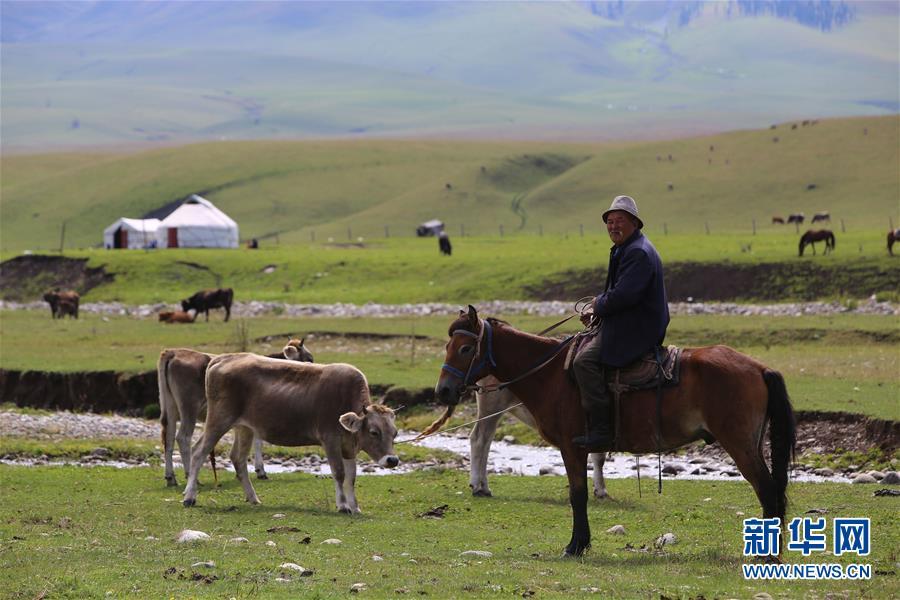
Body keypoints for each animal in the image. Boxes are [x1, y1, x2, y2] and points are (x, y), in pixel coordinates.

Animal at [158, 338, 314, 487]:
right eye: (309, 359)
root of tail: (173, 352)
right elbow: (258, 441)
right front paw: (260, 471)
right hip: (189, 406)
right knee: (183, 437)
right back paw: (191, 477)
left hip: (170, 407)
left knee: (168, 438)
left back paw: (170, 478)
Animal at [182, 353, 399, 513]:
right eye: (374, 432)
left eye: (395, 433)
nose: (392, 460)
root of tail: (223, 358)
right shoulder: (330, 439)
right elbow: (339, 473)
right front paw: (343, 506)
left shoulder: (348, 446)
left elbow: (351, 477)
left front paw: (355, 507)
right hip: (219, 419)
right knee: (199, 451)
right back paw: (189, 497)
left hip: (245, 427)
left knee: (238, 457)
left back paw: (253, 498)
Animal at [470, 376, 608, 499]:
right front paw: (601, 490)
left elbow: (599, 457)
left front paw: (600, 489)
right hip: (492, 403)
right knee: (478, 439)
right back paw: (477, 486)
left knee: (487, 442)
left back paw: (484, 487)